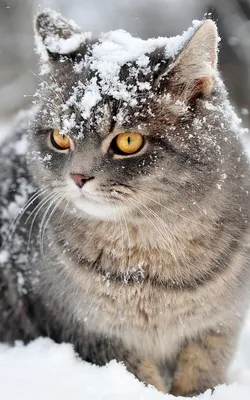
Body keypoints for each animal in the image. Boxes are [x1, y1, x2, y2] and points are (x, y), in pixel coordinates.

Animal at [0, 8, 250, 396]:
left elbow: (200, 376)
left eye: (128, 141)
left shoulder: (218, 327)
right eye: (60, 138)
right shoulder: (94, 333)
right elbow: (141, 380)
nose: (78, 177)